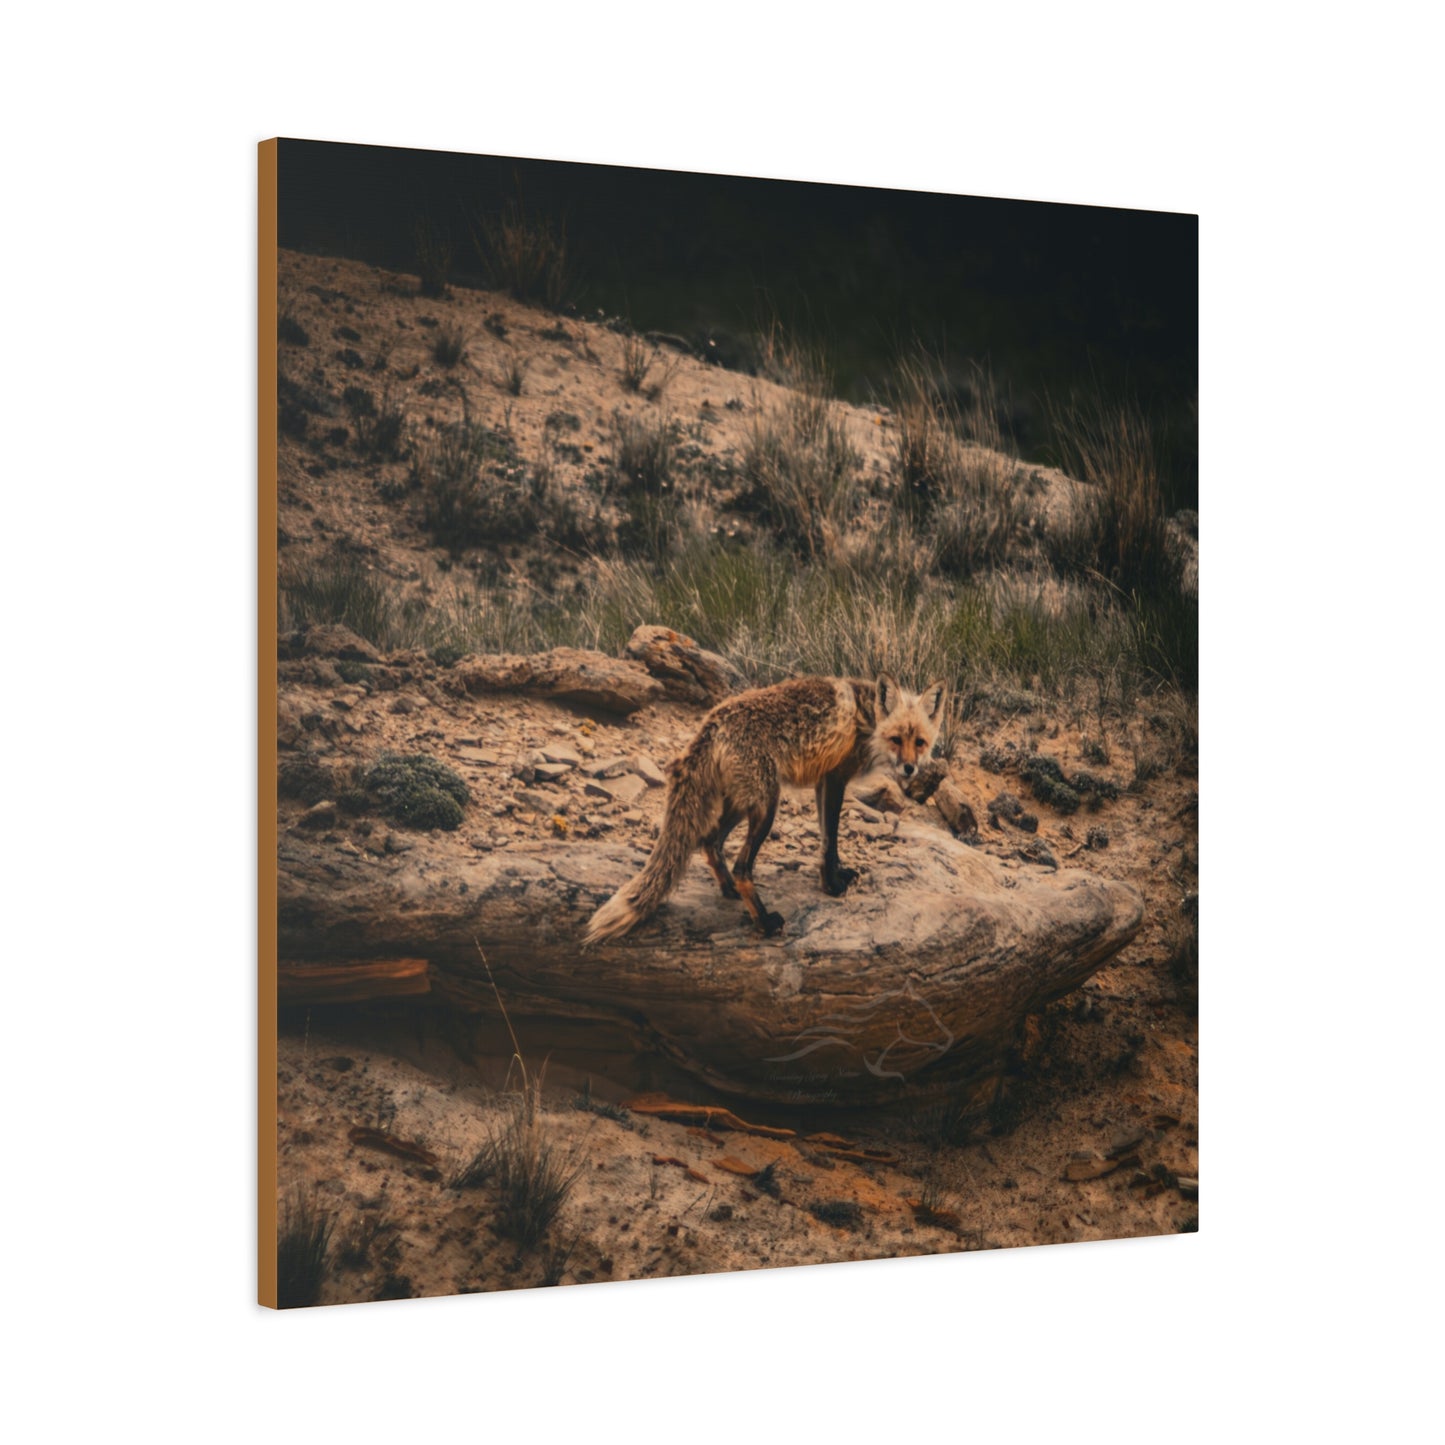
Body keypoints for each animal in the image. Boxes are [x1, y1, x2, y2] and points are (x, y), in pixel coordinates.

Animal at [584, 673, 946, 944]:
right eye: (897, 739)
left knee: (710, 842)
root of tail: (712, 722)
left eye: (920, 742)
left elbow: (826, 841)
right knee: (743, 867)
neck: (867, 720)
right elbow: (830, 840)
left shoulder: (822, 782)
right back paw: (764, 922)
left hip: (741, 804)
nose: (910, 769)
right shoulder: (835, 778)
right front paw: (832, 886)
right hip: (766, 807)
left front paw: (835, 874)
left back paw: (728, 889)